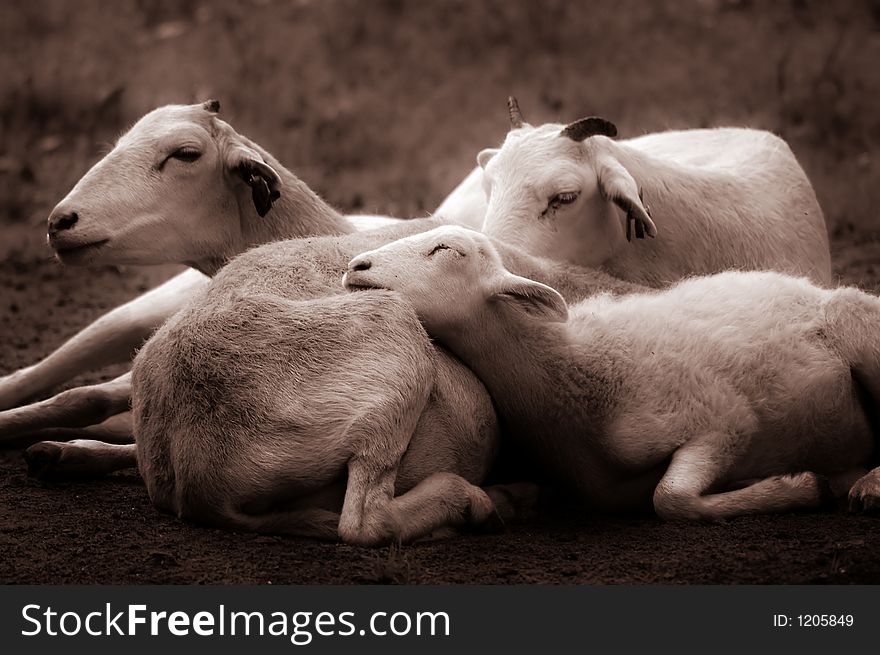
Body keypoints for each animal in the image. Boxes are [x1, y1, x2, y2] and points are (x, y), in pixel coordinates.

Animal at [342, 227, 880, 524]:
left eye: (445, 249)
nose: (356, 265)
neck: (571, 368)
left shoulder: (724, 421)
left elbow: (671, 498)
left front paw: (802, 486)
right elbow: (667, 497)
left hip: (859, 328)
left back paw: (868, 487)